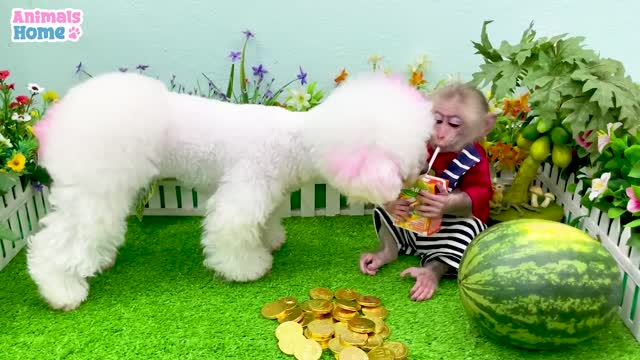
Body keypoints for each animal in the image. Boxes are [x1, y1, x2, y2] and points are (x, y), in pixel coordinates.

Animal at [25, 71, 436, 310]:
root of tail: (63, 117)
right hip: (96, 188)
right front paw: (248, 268)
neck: (297, 141)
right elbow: (231, 232)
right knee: (56, 243)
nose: (420, 169)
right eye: (404, 152)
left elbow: (266, 222)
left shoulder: (269, 191)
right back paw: (61, 291)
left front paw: (270, 241)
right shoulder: (244, 190)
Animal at [358, 81, 498, 300]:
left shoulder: (479, 162)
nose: (440, 134)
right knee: (383, 216)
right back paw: (384, 253)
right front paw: (396, 203)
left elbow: (478, 192)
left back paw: (427, 275)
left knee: (463, 231)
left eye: (455, 124)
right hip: (397, 230)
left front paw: (441, 203)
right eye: (437, 120)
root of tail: (417, 248)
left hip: (452, 240)